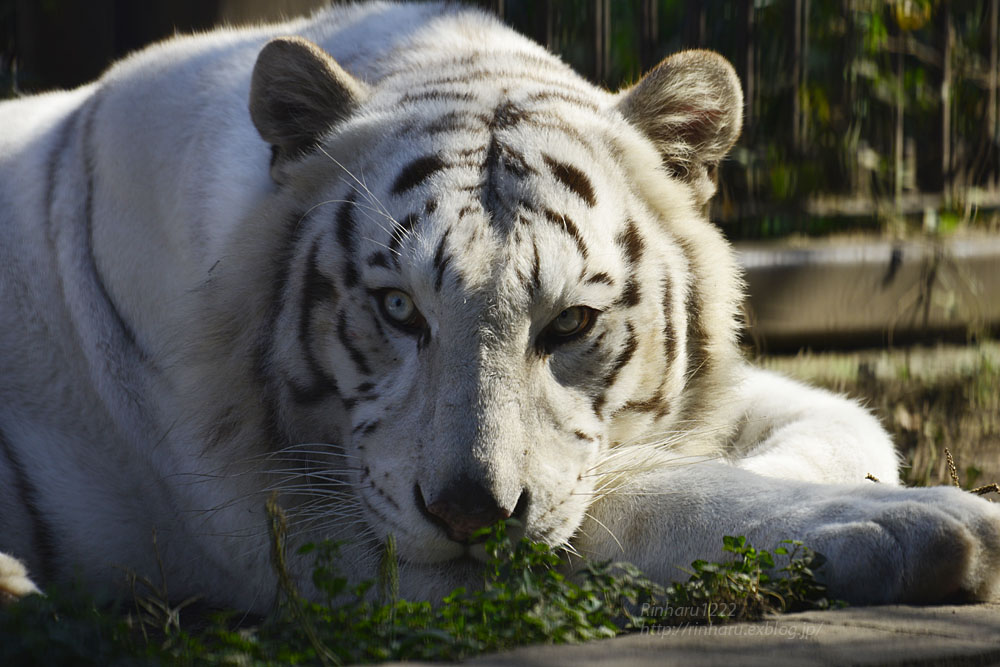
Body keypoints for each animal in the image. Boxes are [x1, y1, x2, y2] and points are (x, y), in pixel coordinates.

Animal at [1, 1, 1000, 616]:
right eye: (398, 308)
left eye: (571, 324)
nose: (470, 514)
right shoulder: (294, 528)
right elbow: (641, 496)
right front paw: (926, 526)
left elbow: (845, 424)